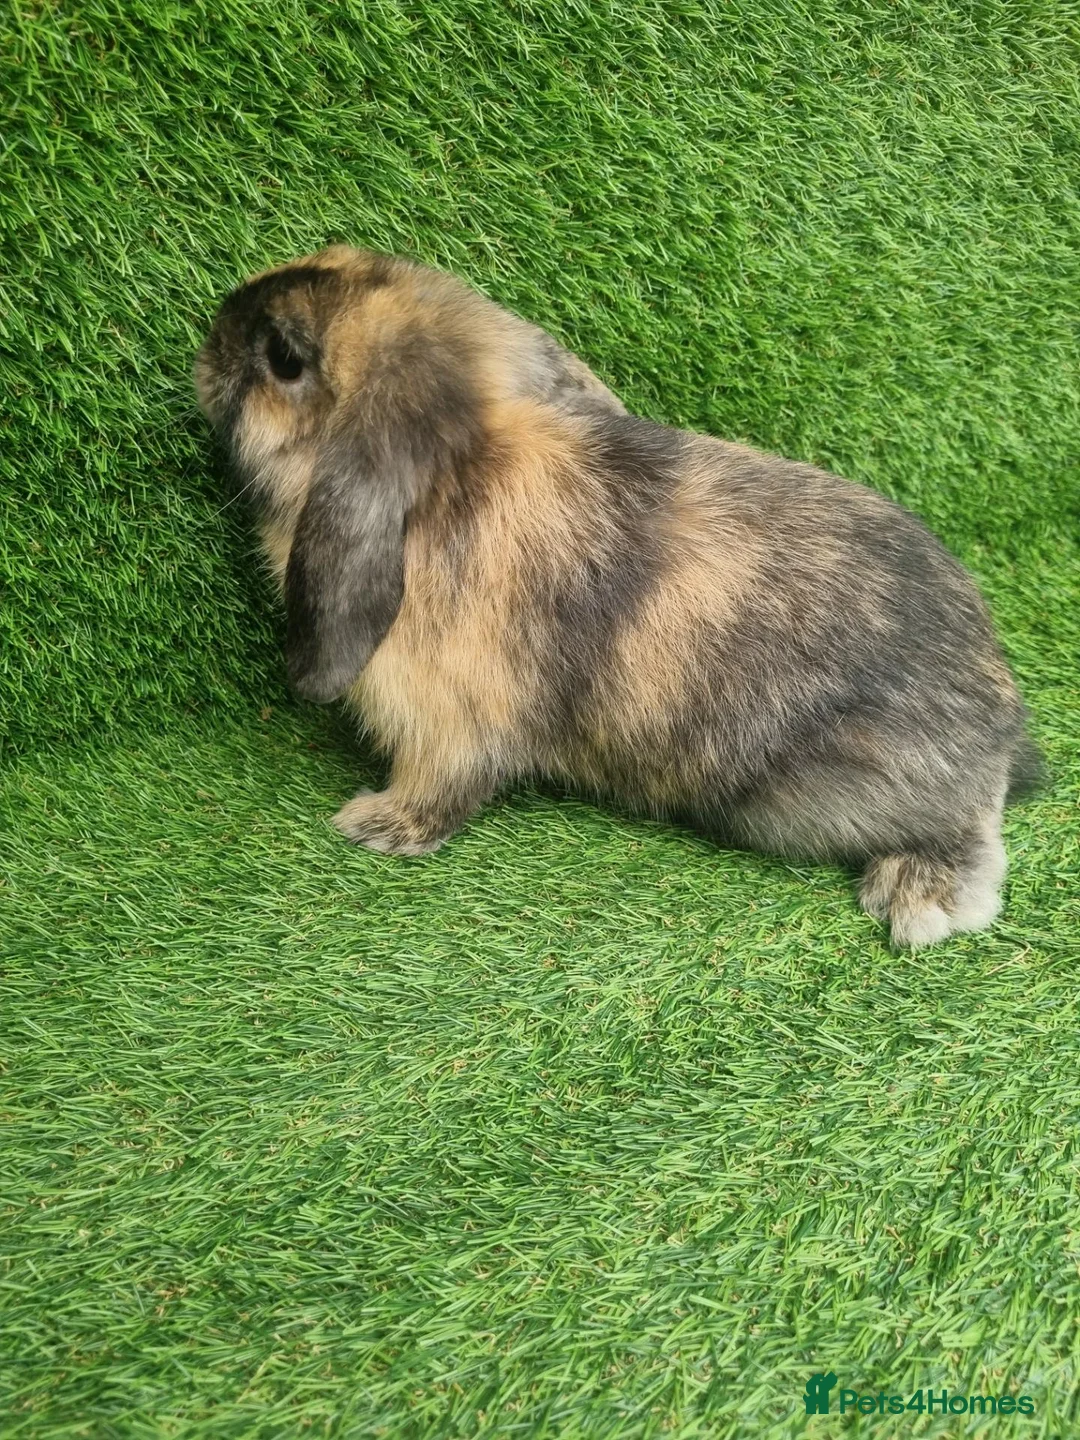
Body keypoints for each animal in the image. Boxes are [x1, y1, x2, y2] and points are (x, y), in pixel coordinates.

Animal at [194, 245, 1041, 948]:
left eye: (284, 357)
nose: (213, 328)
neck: (451, 481)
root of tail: (999, 720)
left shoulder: (452, 725)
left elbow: (443, 787)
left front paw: (372, 825)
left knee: (975, 828)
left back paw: (919, 899)